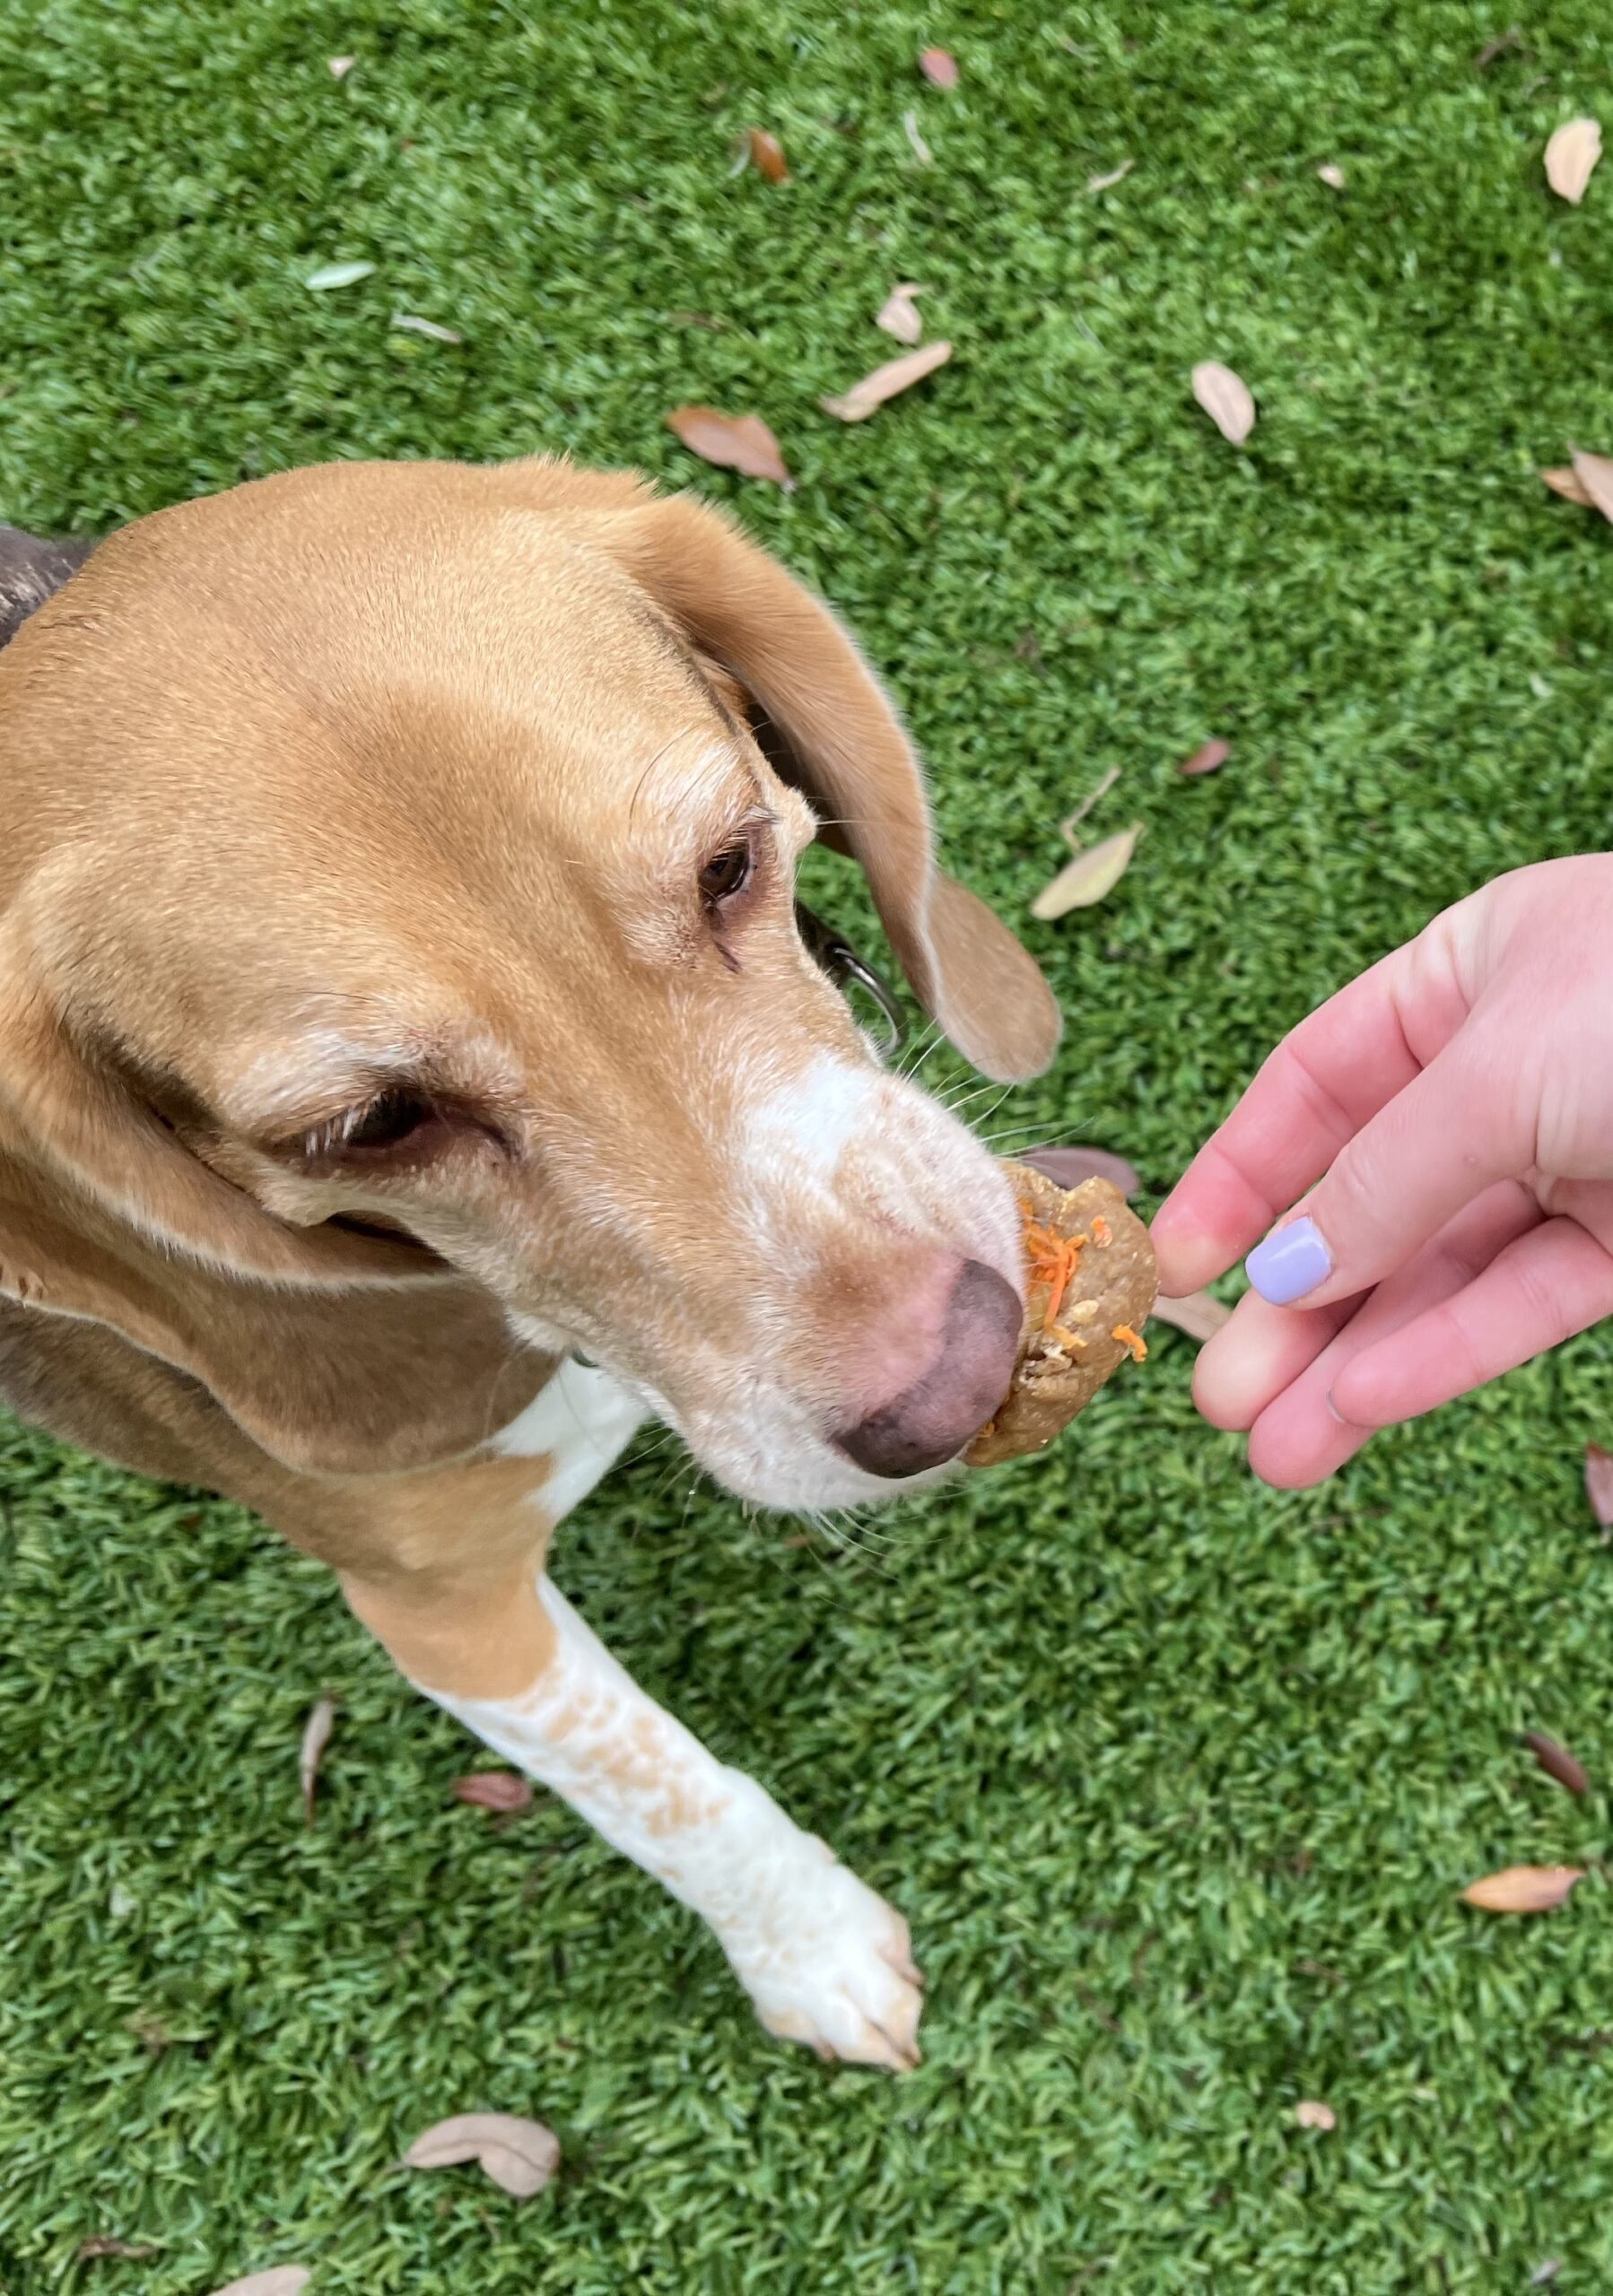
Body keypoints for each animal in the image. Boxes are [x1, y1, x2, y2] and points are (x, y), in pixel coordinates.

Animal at [0, 457, 1061, 2075]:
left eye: (730, 865)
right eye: (371, 1128)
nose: (952, 1381)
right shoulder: (447, 1616)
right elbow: (659, 1784)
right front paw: (808, 1946)